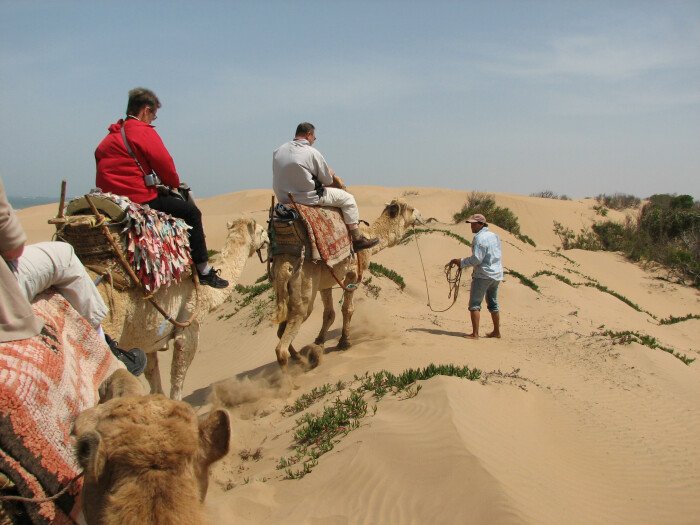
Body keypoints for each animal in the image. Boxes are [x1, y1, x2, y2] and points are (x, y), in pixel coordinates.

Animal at [270, 199, 418, 366]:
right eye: (412, 209)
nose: (420, 216)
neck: (369, 235)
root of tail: (284, 267)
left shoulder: (325, 281)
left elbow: (329, 313)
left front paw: (319, 342)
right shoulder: (353, 273)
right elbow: (347, 309)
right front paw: (344, 342)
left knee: (280, 331)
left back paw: (300, 357)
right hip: (303, 291)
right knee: (282, 345)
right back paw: (302, 364)